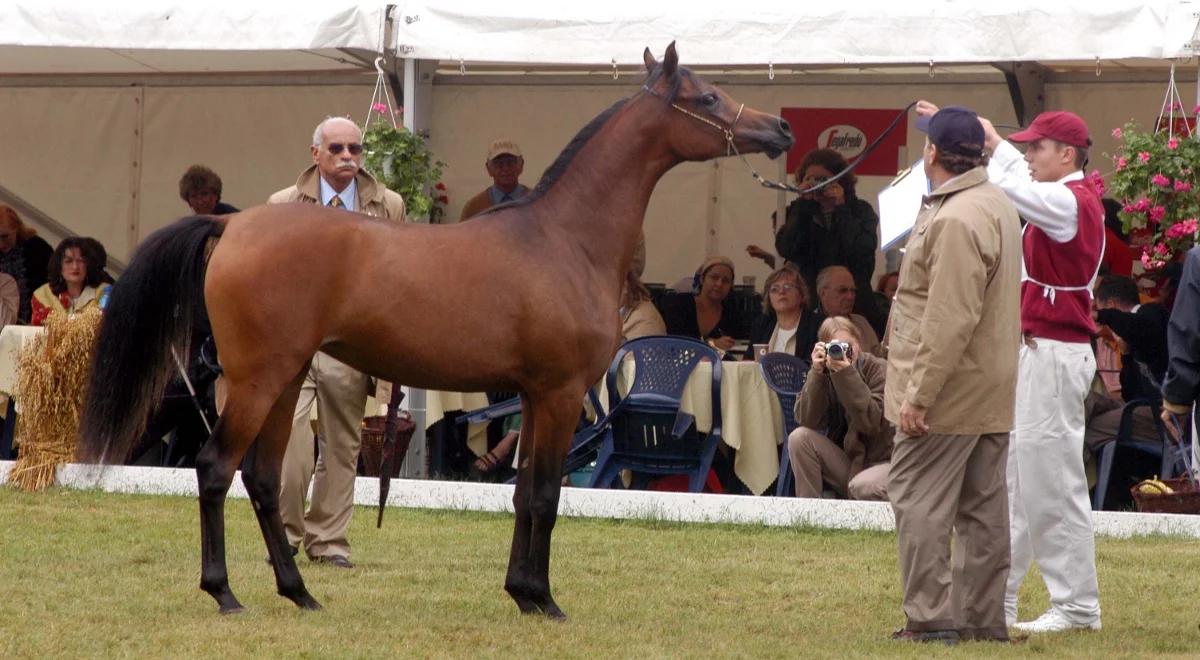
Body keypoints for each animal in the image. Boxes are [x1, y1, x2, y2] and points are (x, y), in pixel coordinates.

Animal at [79, 45, 796, 619]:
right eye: (707, 96)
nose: (781, 128)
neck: (563, 240)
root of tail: (232, 225)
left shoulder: (532, 396)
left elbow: (523, 494)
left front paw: (521, 593)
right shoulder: (562, 392)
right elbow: (544, 496)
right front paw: (544, 600)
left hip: (285, 381)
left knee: (260, 477)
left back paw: (298, 592)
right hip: (259, 380)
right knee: (213, 468)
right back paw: (224, 593)